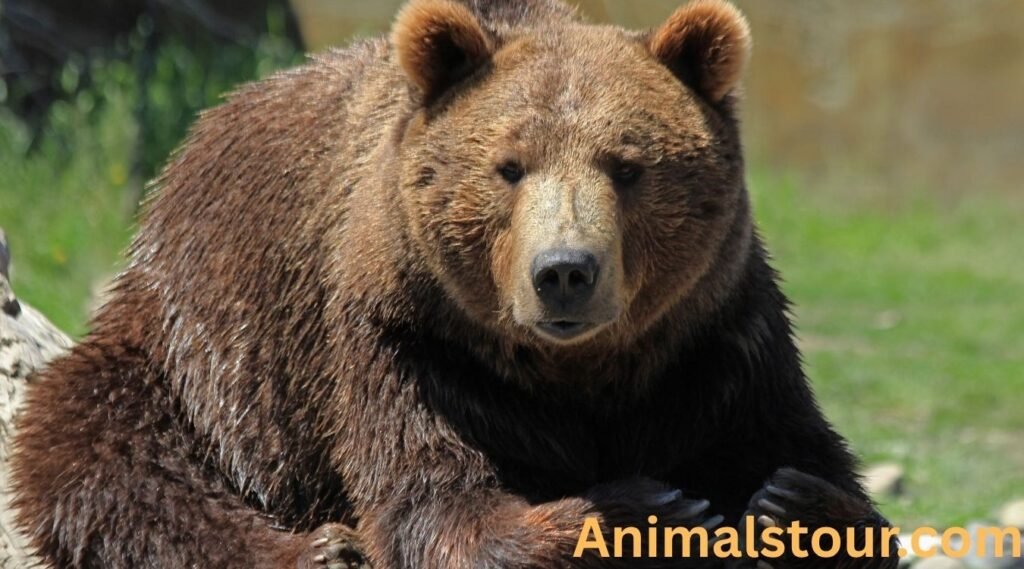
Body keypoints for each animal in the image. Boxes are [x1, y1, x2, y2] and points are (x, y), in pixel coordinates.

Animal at [10, 0, 899, 567]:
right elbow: (437, 502)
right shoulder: (408, 340)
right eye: (509, 166)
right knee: (104, 451)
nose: (564, 271)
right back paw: (317, 549)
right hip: (199, 351)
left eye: (628, 166)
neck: (579, 373)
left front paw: (792, 503)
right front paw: (640, 509)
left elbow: (803, 455)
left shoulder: (716, 338)